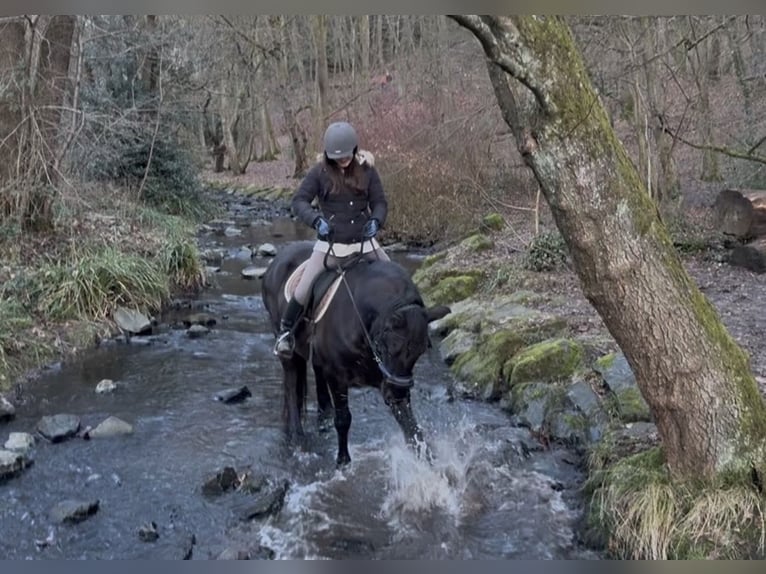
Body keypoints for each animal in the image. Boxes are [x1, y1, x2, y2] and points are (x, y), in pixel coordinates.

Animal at [261, 240, 451, 466]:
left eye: (419, 352)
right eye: (386, 347)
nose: (397, 394)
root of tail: (277, 261)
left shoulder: (387, 382)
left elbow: (411, 426)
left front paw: (429, 461)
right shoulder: (338, 377)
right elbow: (344, 420)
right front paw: (343, 462)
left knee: (317, 378)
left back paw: (323, 421)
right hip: (288, 350)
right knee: (291, 387)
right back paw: (299, 438)